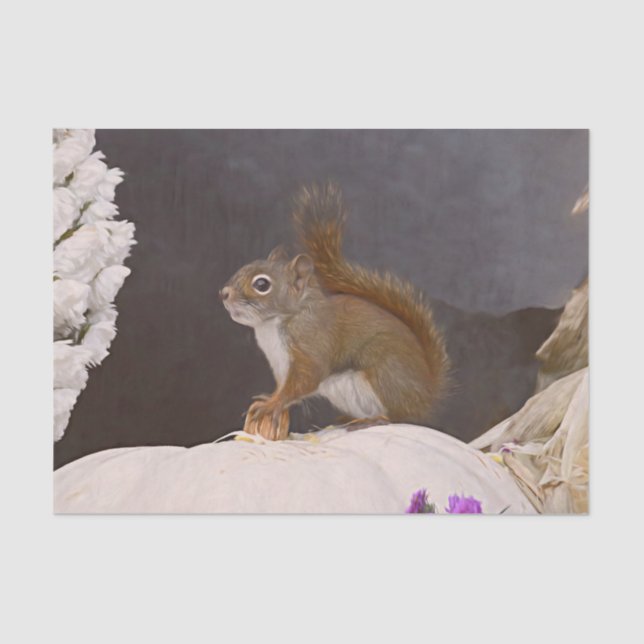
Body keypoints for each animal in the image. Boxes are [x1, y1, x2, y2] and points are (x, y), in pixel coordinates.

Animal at [220, 183, 449, 440]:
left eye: (261, 284)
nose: (223, 293)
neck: (274, 324)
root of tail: (427, 396)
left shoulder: (311, 344)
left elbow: (305, 380)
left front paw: (272, 405)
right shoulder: (281, 364)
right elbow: (284, 387)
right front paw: (268, 399)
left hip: (386, 374)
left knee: (397, 416)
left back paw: (372, 420)